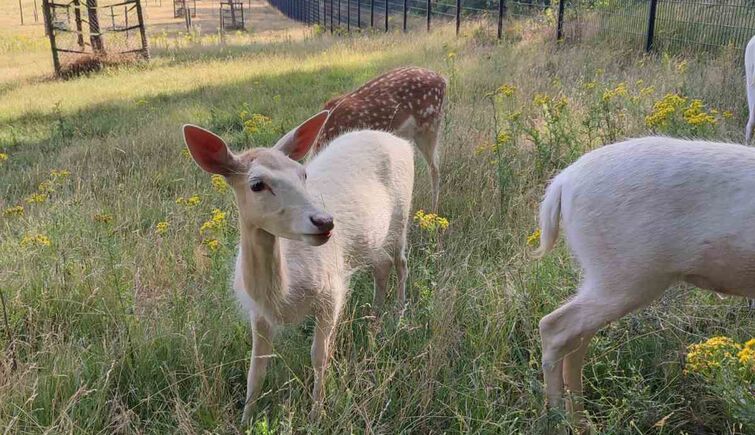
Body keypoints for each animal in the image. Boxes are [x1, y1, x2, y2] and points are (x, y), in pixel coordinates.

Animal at [182, 111, 415, 424]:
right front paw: (245, 419)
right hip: (374, 238)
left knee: (401, 263)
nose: (325, 221)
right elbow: (256, 370)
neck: (283, 293)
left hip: (402, 214)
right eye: (257, 184)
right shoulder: (258, 313)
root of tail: (400, 142)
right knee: (382, 267)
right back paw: (375, 319)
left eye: (302, 174)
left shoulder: (332, 291)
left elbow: (319, 356)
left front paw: (317, 414)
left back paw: (398, 315)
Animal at [534, 137, 755, 431]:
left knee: (576, 339)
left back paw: (582, 422)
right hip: (626, 274)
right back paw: (559, 420)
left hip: (603, 274)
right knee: (554, 326)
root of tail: (562, 183)